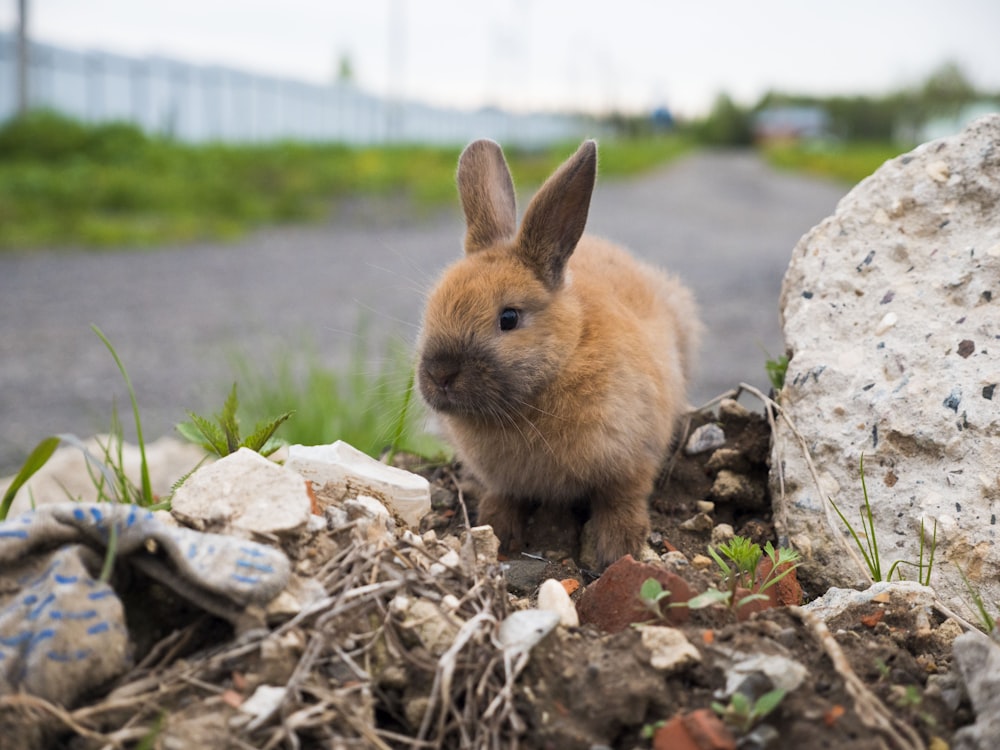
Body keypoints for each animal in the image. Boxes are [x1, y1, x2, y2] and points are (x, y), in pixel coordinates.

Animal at [418, 138, 700, 568]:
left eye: (509, 318)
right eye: (432, 307)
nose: (440, 374)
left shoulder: (634, 454)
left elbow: (622, 498)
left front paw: (616, 548)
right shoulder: (503, 479)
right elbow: (505, 496)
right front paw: (497, 530)